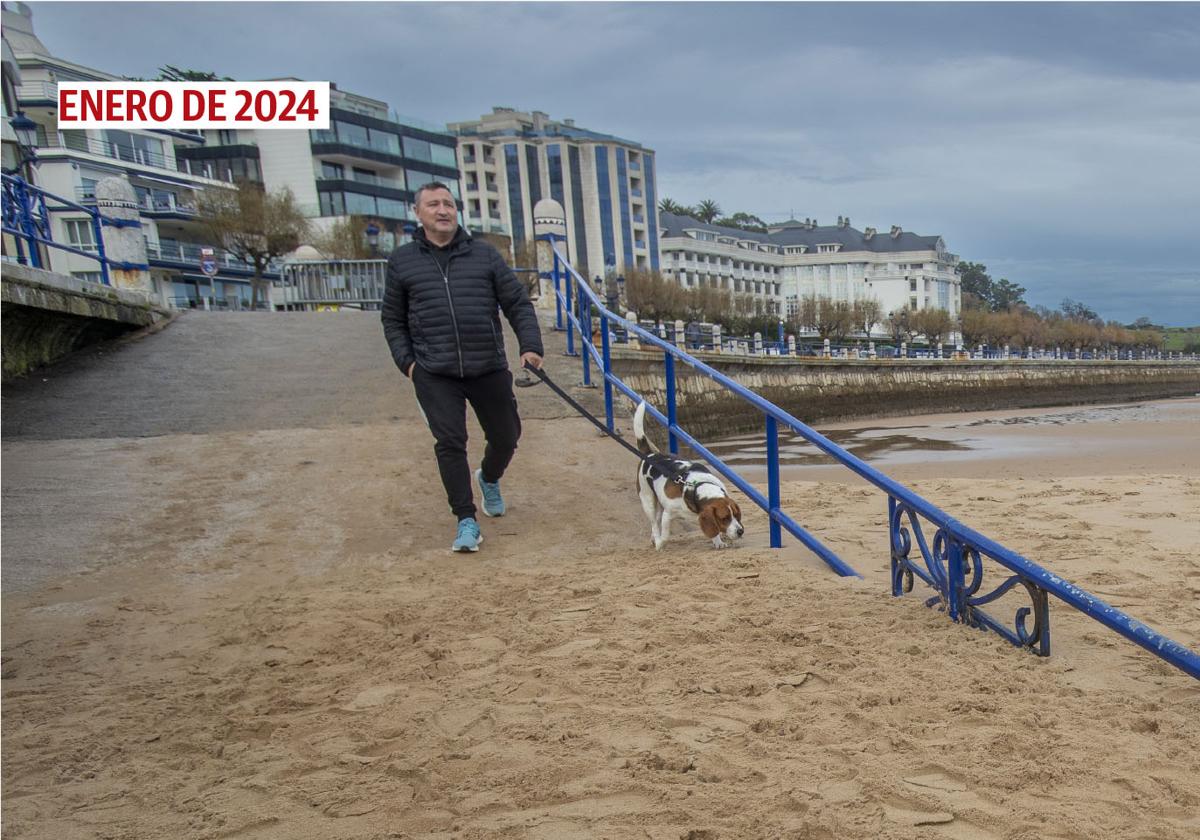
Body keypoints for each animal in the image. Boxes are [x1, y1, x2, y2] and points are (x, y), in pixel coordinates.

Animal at [633, 400, 744, 552]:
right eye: (724, 518)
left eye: (736, 515)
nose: (740, 531)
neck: (697, 488)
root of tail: (650, 454)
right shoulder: (668, 514)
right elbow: (665, 535)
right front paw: (661, 543)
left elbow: (713, 531)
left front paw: (717, 541)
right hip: (647, 500)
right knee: (654, 523)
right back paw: (656, 539)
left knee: (656, 520)